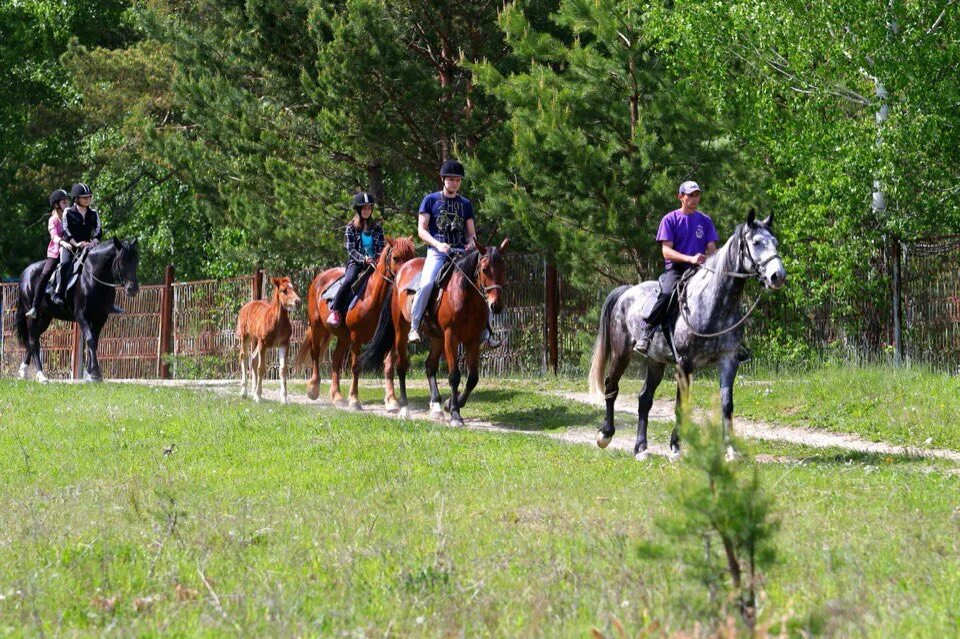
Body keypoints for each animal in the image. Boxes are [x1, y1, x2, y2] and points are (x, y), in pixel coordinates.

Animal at [15, 239, 141, 380]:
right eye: (121, 261)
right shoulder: (81, 315)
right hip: (33, 317)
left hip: (45, 318)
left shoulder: (100, 317)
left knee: (33, 340)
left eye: (136, 260)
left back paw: (23, 371)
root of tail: (26, 272)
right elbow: (90, 339)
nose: (133, 289)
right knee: (33, 342)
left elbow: (94, 341)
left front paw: (90, 371)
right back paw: (41, 375)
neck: (92, 277)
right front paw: (95, 372)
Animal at [235, 276, 300, 404]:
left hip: (257, 340)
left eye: (293, 288)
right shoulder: (264, 344)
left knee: (253, 358)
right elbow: (261, 368)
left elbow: (283, 369)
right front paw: (259, 396)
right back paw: (244, 392)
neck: (278, 322)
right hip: (246, 337)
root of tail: (245, 306)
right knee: (243, 356)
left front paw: (284, 399)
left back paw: (253, 392)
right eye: (284, 290)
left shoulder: (284, 344)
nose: (298, 301)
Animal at [296, 236, 416, 410]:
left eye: (413, 257)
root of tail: (318, 278)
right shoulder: (356, 337)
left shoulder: (392, 338)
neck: (372, 299)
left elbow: (389, 366)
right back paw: (313, 389)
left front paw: (392, 401)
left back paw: (337, 397)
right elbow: (355, 367)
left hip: (343, 337)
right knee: (315, 354)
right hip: (317, 326)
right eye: (396, 258)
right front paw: (354, 400)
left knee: (336, 361)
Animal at [362, 239, 510, 424]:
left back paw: (437, 407)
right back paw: (404, 409)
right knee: (401, 367)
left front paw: (450, 404)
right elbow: (454, 376)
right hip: (402, 330)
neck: (464, 295)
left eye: (503, 269)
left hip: (437, 338)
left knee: (430, 366)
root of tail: (399, 274)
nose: (496, 305)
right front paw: (455, 413)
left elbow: (473, 378)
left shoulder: (473, 339)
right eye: (484, 269)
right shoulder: (451, 336)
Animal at [584, 210, 788, 460]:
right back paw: (605, 435)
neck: (714, 304)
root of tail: (626, 292)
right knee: (611, 386)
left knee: (644, 399)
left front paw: (731, 450)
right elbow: (681, 405)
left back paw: (641, 448)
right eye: (757, 242)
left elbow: (727, 404)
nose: (778, 276)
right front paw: (676, 447)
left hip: (656, 361)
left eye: (775, 242)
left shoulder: (728, 360)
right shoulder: (685, 364)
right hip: (622, 353)